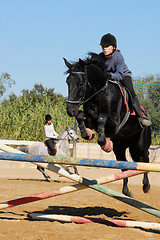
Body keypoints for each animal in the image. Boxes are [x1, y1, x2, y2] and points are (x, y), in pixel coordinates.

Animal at [63, 53, 151, 197]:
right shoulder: (90, 119)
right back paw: (126, 191)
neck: (100, 94)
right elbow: (82, 117)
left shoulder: (114, 123)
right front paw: (88, 134)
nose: (71, 110)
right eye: (67, 82)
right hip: (120, 147)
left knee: (144, 159)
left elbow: (101, 118)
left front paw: (104, 143)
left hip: (140, 144)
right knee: (124, 166)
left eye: (80, 83)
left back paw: (146, 186)